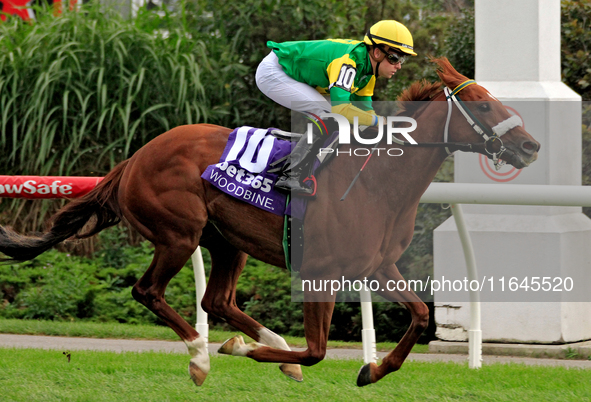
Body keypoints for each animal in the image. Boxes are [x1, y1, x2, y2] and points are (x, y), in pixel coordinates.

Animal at [0, 58, 540, 388]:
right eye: (484, 103)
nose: (530, 145)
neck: (375, 183)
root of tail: (134, 159)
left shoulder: (376, 266)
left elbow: (421, 314)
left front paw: (373, 369)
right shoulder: (321, 271)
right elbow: (318, 351)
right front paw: (243, 354)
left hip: (227, 241)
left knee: (216, 300)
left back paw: (261, 343)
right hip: (180, 233)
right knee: (149, 291)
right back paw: (201, 355)